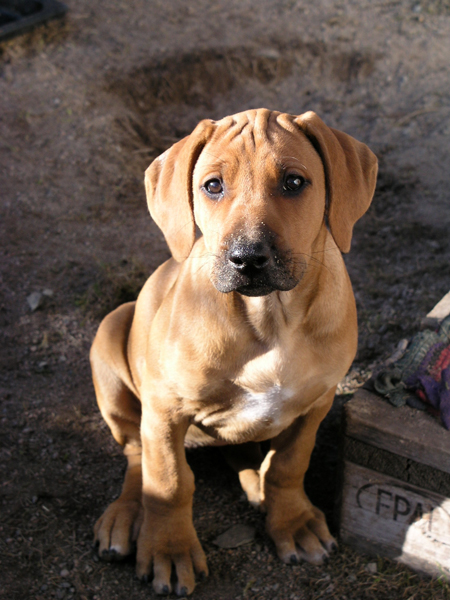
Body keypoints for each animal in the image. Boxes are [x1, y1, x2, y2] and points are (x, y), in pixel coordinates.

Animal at [90, 109, 376, 596]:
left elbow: (288, 465)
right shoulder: (165, 410)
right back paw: (125, 517)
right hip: (110, 334)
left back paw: (257, 486)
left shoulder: (317, 402)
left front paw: (292, 522)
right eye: (212, 186)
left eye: (295, 182)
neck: (270, 318)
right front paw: (169, 550)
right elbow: (169, 481)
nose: (247, 258)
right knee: (136, 457)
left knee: (242, 453)